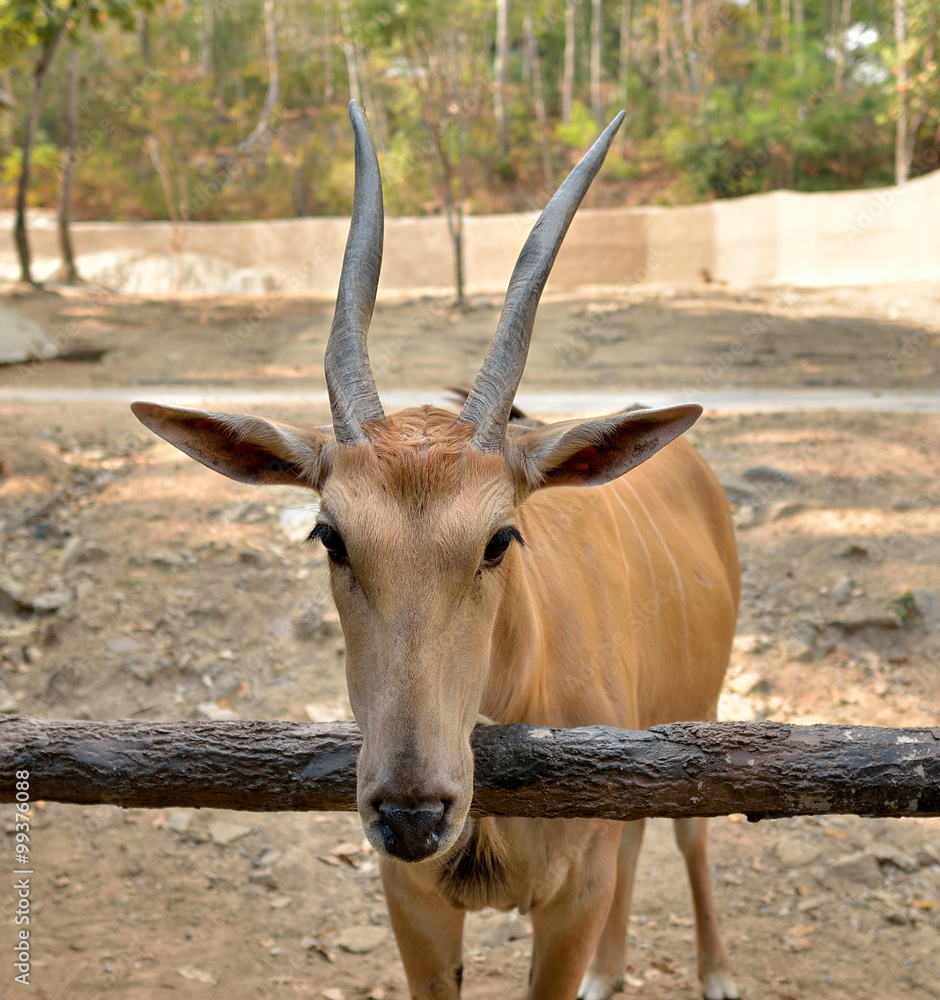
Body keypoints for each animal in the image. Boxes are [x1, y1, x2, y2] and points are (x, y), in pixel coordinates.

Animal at [131, 103, 740, 1000]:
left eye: (500, 539)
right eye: (331, 535)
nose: (411, 812)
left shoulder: (570, 902)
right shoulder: (414, 904)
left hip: (700, 709)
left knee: (686, 833)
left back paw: (715, 970)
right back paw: (611, 973)